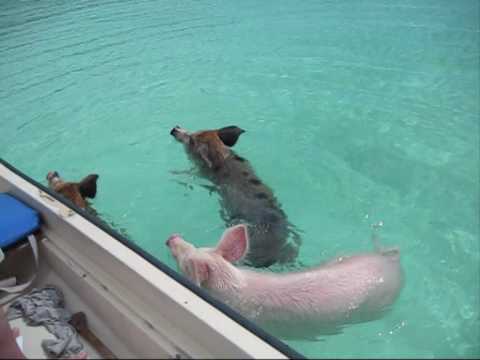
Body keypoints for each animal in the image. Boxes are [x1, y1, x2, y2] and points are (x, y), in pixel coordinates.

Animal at [171, 124, 300, 268]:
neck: (220, 158)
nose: (175, 128)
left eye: (192, 140)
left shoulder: (201, 173)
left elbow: (189, 174)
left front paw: (174, 173)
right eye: (196, 132)